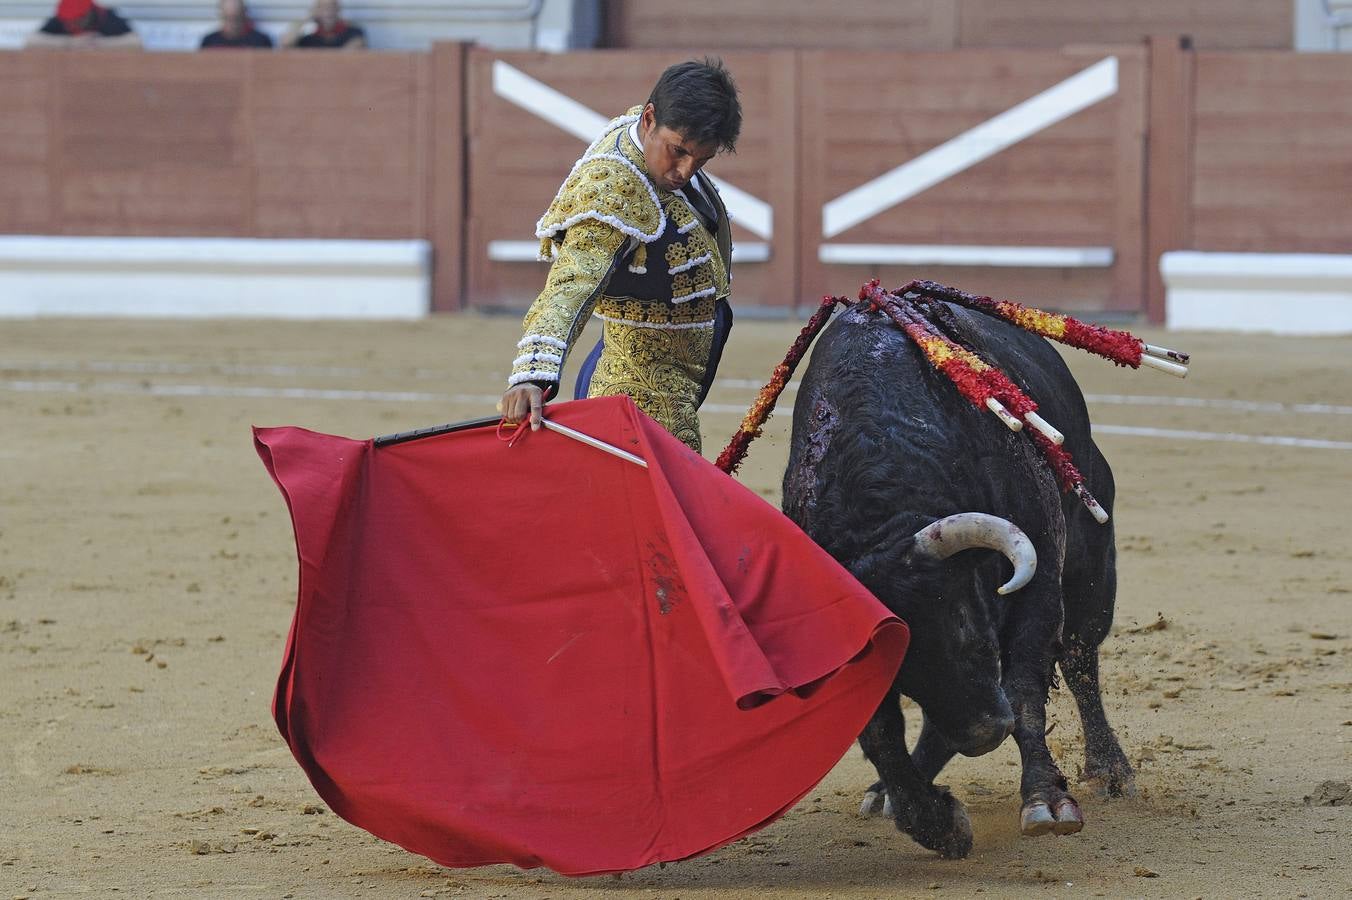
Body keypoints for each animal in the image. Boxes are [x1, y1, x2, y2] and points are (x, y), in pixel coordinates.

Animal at [784, 295, 1141, 854]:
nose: (984, 733)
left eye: (963, 623)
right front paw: (933, 820)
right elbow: (878, 729)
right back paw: (889, 792)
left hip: (1091, 562)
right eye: (896, 659)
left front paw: (1046, 802)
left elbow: (1026, 689)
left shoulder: (1038, 585)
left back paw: (1110, 769)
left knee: (1081, 659)